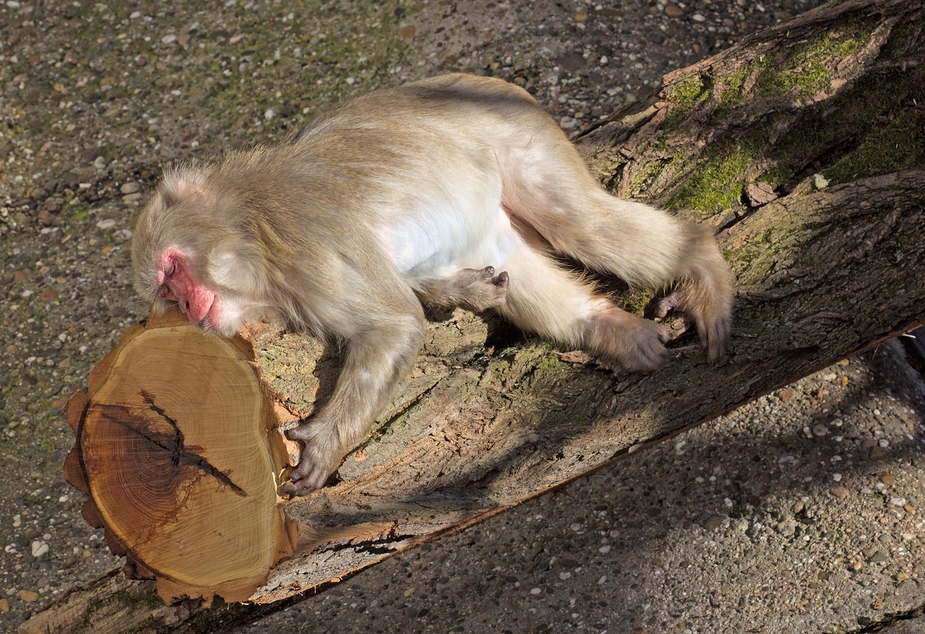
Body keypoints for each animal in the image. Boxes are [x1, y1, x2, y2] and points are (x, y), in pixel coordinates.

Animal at [132, 73, 736, 494]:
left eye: (170, 271)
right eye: (167, 293)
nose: (187, 306)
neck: (251, 227)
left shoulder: (306, 242)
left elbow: (394, 323)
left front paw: (326, 440)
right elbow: (415, 297)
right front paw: (460, 291)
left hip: (518, 136)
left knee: (583, 225)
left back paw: (702, 264)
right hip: (491, 211)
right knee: (519, 265)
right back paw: (610, 329)